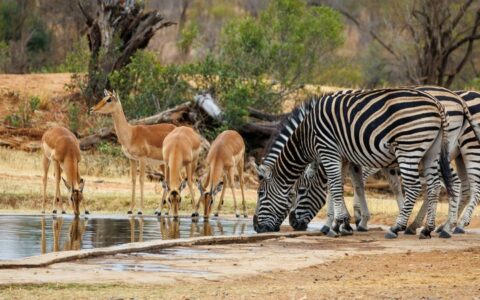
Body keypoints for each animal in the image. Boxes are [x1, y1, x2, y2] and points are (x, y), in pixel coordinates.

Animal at [253, 87, 452, 239]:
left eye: (261, 193)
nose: (256, 227)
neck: (307, 135)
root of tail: (436, 103)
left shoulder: (329, 150)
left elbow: (334, 187)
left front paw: (339, 223)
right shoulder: (344, 157)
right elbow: (344, 187)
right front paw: (338, 224)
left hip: (409, 148)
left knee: (416, 186)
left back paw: (399, 227)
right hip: (431, 151)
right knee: (434, 186)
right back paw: (427, 229)